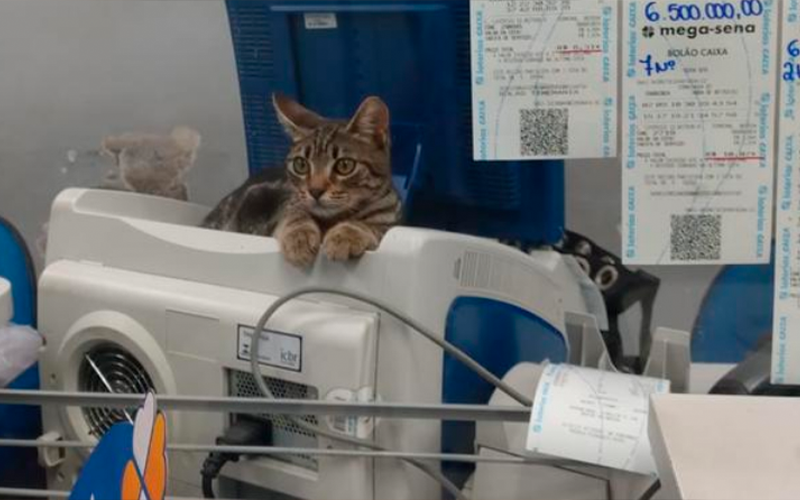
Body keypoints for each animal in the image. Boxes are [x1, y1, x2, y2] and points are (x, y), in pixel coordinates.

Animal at [202, 94, 401, 268]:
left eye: (344, 165)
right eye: (301, 165)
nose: (315, 191)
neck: (331, 220)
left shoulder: (392, 224)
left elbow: (370, 227)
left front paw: (346, 234)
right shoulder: (288, 207)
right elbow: (295, 216)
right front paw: (299, 238)